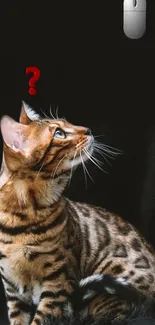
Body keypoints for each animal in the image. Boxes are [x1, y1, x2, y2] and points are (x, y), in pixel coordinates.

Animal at [0, 102, 155, 324]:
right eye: (59, 133)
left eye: (67, 123)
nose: (88, 130)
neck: (22, 214)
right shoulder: (13, 289)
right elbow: (19, 319)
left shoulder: (58, 283)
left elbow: (41, 318)